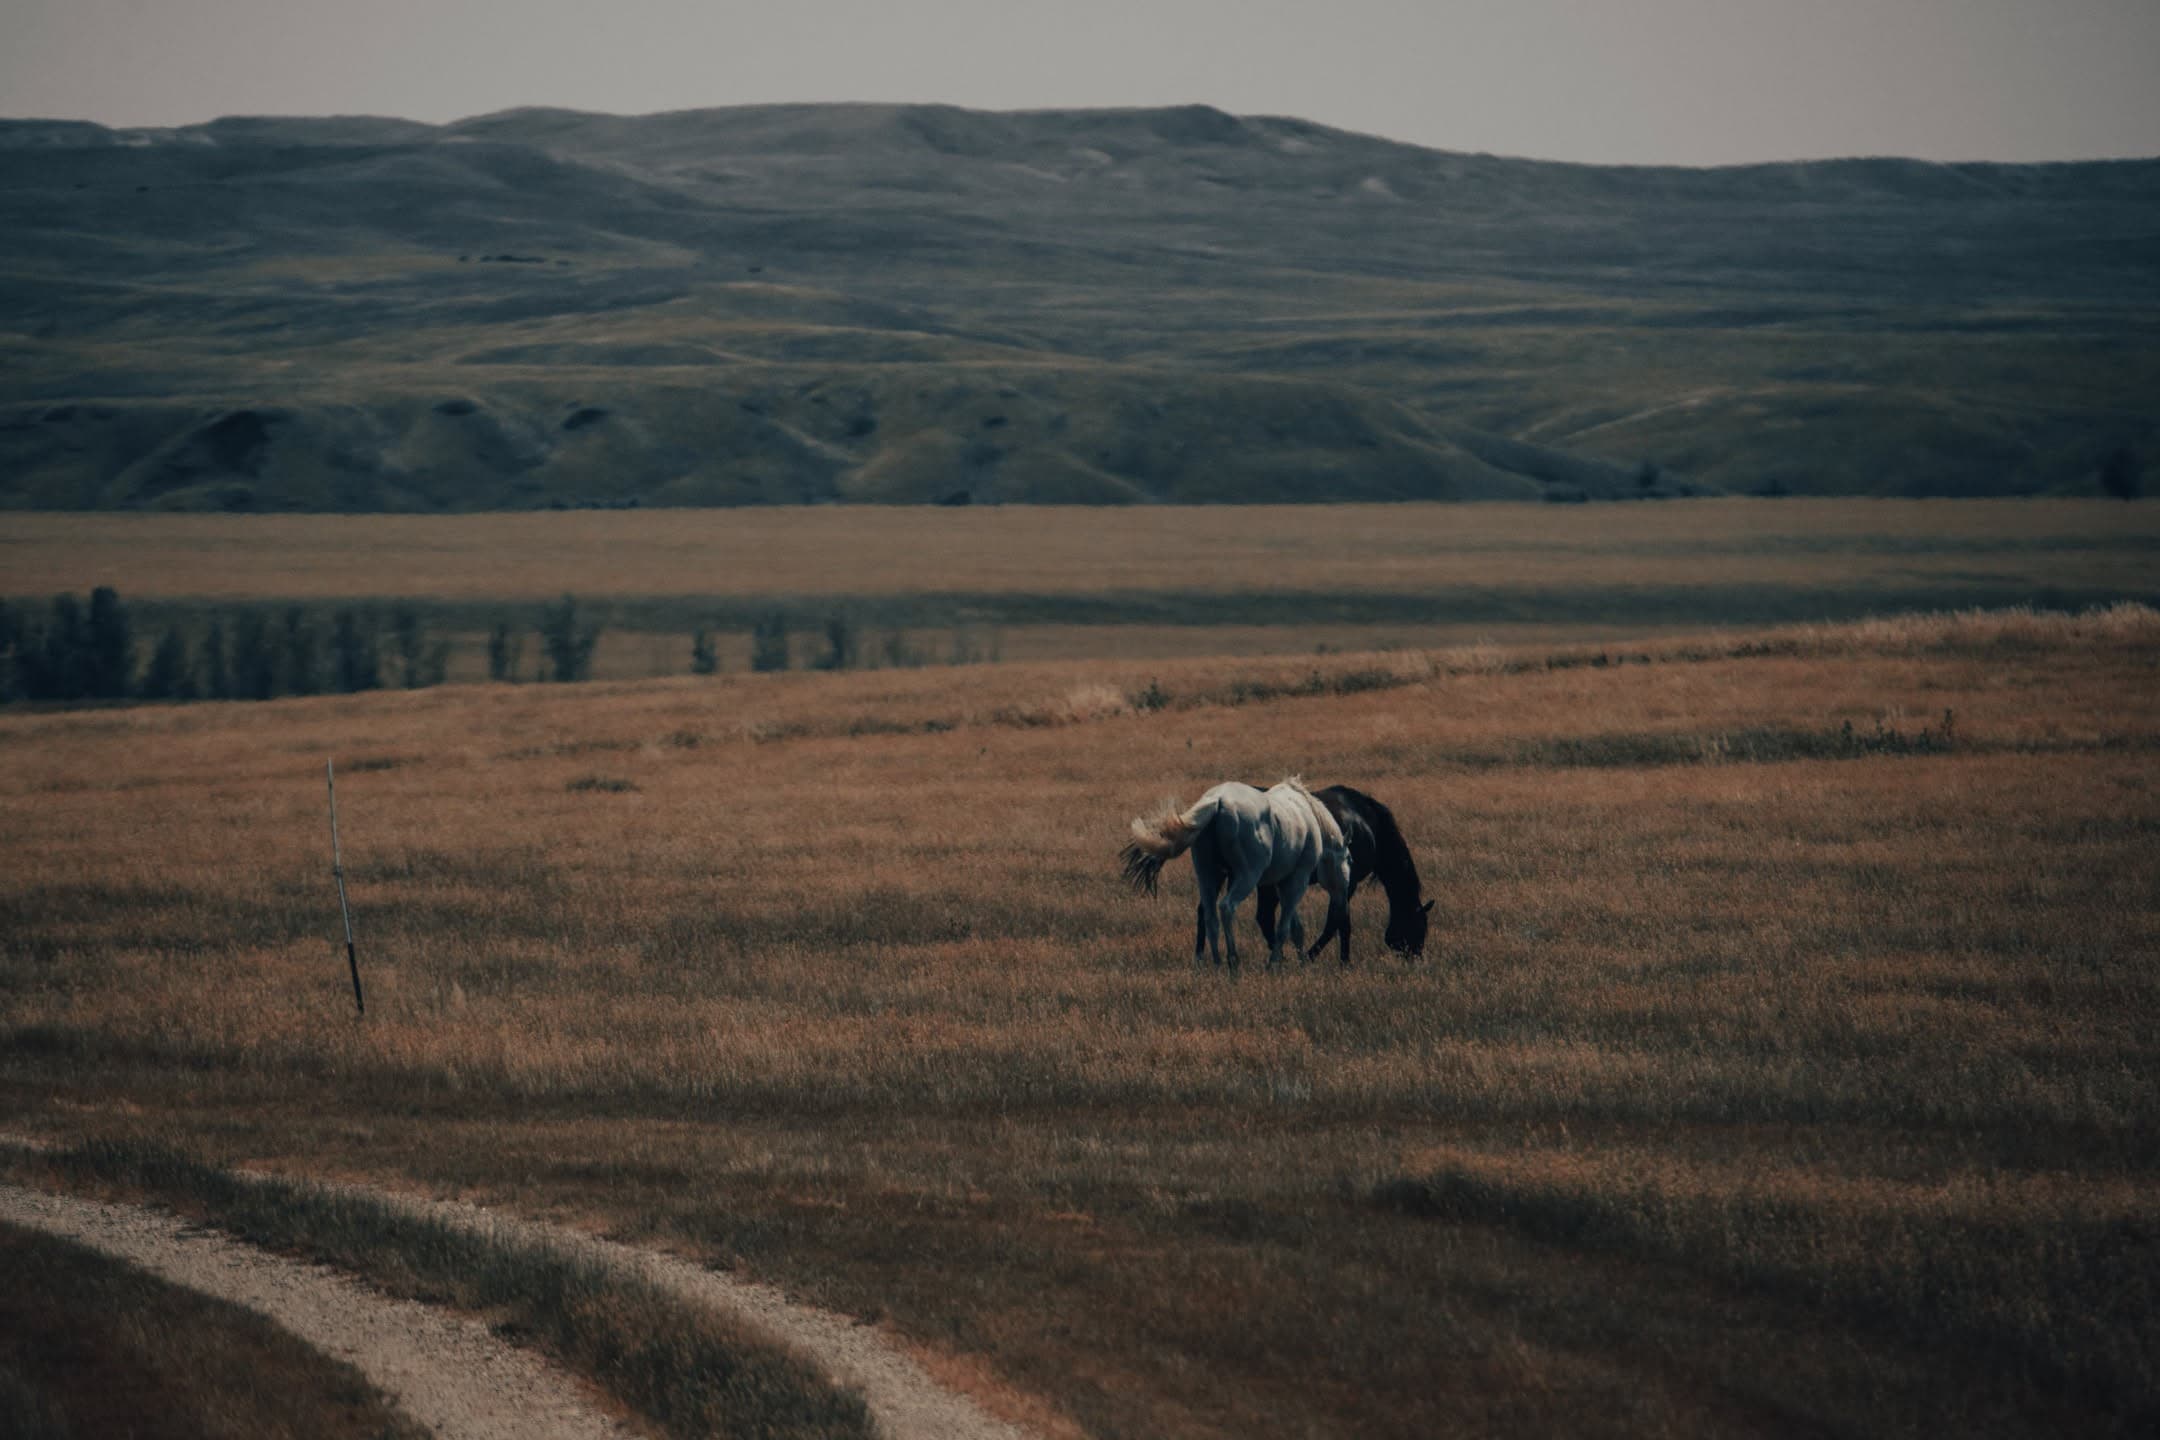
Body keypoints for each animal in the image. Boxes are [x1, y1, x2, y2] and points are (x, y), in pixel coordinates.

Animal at [1121, 779, 1350, 972]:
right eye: (1349, 859)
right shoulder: (1297, 880)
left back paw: (1217, 963)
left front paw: (1300, 962)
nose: (1342, 896)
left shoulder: (1281, 883)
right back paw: (1233, 961)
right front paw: (1276, 964)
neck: (1308, 815)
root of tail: (1217, 801)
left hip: (1207, 876)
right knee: (1226, 907)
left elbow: (1296, 928)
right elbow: (1284, 927)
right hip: (1248, 877)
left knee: (1210, 915)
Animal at [1235, 784, 1433, 964]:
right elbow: (1337, 921)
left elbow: (1339, 921)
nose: (1416, 957)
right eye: (1420, 926)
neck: (1366, 821)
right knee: (1265, 916)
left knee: (1264, 916)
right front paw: (1327, 959)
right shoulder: (1348, 882)